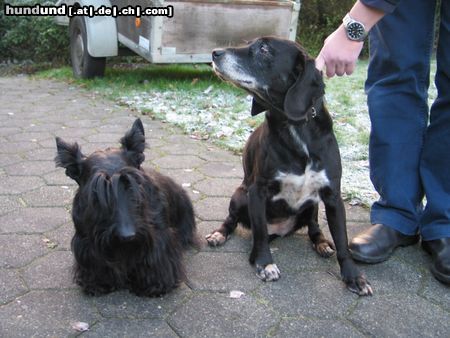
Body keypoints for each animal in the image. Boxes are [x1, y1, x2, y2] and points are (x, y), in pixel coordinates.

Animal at [55, 118, 199, 296]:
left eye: (132, 182)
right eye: (96, 191)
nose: (127, 236)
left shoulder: (158, 237)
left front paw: (154, 284)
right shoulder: (86, 241)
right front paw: (98, 283)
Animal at [207, 37, 372, 296]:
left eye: (264, 49)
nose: (215, 53)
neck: (293, 125)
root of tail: (280, 230)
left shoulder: (332, 196)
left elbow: (343, 240)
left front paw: (353, 276)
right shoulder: (257, 191)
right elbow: (260, 233)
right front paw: (265, 263)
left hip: (312, 205)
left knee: (314, 226)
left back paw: (322, 243)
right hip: (240, 195)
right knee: (232, 220)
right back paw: (219, 234)